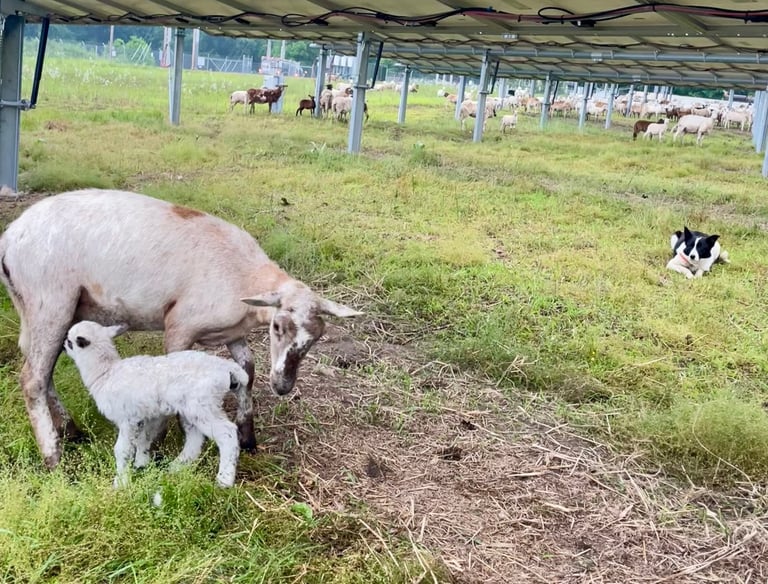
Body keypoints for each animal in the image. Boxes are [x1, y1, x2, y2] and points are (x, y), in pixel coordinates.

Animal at [0, 188, 363, 469]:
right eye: (277, 326)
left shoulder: (233, 332)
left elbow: (247, 370)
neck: (245, 277)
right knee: (33, 378)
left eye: (317, 338)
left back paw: (71, 430)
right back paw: (53, 457)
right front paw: (164, 441)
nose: (284, 386)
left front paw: (247, 435)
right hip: (50, 299)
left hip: (40, 307)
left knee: (43, 370)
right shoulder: (180, 326)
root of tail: (10, 236)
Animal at [63, 321, 247, 488]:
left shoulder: (127, 419)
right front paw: (142, 465)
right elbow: (143, 440)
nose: (64, 345)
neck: (106, 373)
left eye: (70, 341)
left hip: (203, 405)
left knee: (227, 433)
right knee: (195, 438)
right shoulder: (145, 417)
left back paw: (224, 480)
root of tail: (227, 367)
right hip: (192, 409)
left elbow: (122, 450)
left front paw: (120, 482)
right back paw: (176, 467)